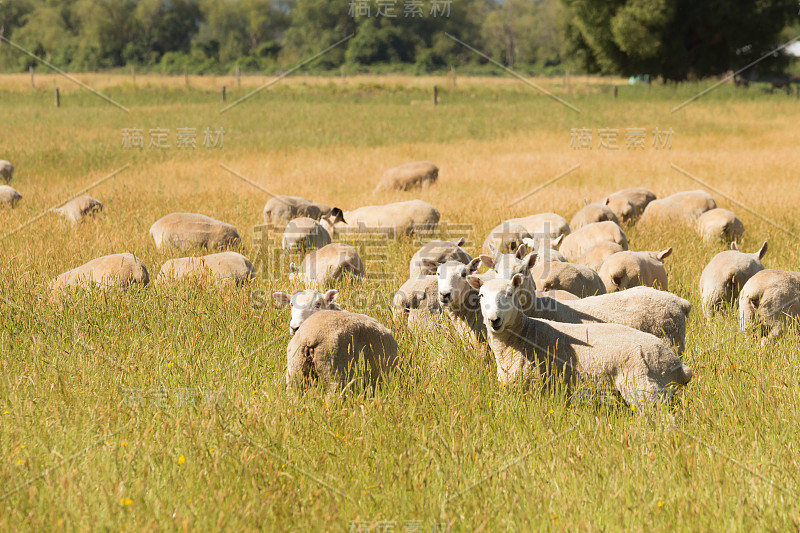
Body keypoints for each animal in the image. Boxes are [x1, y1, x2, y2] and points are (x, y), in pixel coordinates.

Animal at [466, 274, 692, 404]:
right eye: (481, 295)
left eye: (510, 294)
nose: (494, 320)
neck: (524, 335)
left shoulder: (534, 388)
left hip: (645, 388)